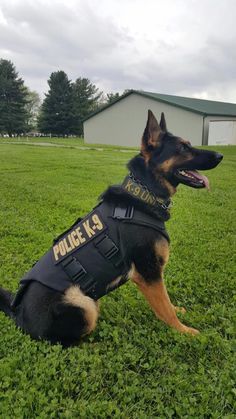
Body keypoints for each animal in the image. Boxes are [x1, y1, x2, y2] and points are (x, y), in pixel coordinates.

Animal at [0, 110, 223, 346]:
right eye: (182, 147)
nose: (221, 156)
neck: (144, 192)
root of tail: (17, 314)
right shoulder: (149, 274)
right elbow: (165, 308)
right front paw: (184, 331)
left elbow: (167, 303)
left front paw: (179, 314)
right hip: (83, 303)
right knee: (65, 342)